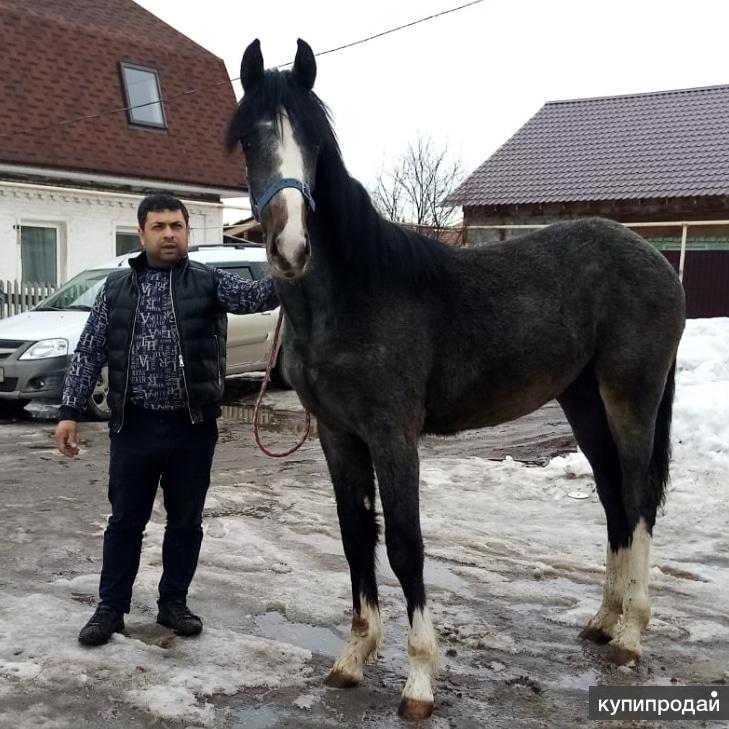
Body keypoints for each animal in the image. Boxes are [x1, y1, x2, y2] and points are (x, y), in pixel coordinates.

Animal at [225, 38, 684, 716]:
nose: (291, 247)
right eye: (251, 139)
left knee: (637, 496)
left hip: (631, 397)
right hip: (583, 402)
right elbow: (355, 537)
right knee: (612, 501)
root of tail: (656, 259)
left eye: (313, 141)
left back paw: (629, 634)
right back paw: (602, 622)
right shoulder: (339, 436)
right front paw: (352, 659)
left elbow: (404, 544)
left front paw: (419, 680)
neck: (356, 293)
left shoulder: (393, 436)